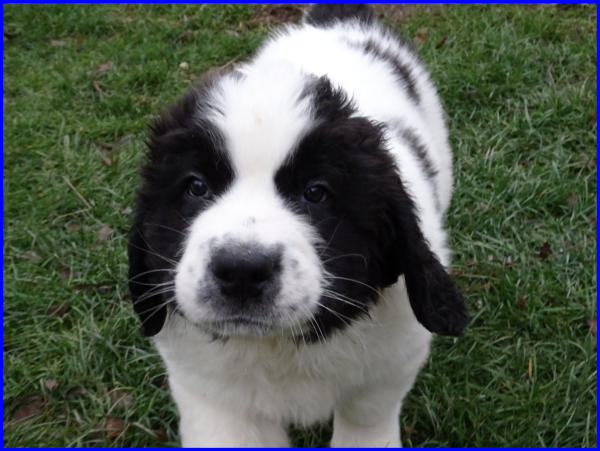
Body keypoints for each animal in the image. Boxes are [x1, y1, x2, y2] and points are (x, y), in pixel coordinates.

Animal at [129, 4, 467, 447]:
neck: (279, 345)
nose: (241, 270)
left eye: (316, 192)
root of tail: (335, 22)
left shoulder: (392, 361)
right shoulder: (210, 393)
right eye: (196, 187)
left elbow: (367, 416)